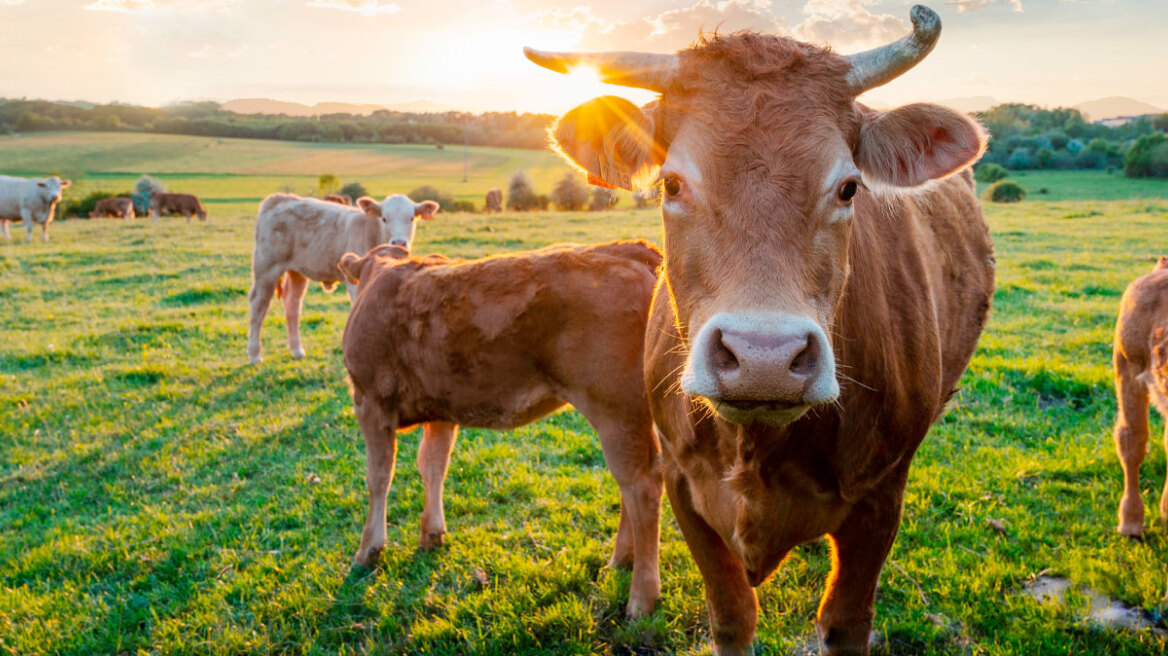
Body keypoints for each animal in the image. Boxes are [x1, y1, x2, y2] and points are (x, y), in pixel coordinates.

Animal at [245, 191, 439, 361]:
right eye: (384, 218)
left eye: (411, 218)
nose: (399, 242)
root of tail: (279, 199)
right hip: (266, 267)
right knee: (259, 305)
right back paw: (254, 354)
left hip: (297, 271)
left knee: (292, 304)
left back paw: (297, 350)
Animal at [338, 239, 668, 611]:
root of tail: (622, 248)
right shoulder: (440, 410)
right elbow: (433, 465)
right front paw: (431, 534)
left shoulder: (369, 401)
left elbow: (378, 477)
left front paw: (368, 551)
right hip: (631, 413)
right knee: (633, 482)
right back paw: (619, 562)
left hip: (615, 408)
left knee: (641, 486)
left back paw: (641, 598)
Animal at [530, 6, 995, 653]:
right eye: (672, 184)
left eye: (848, 186)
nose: (764, 358)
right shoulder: (684, 486)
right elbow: (731, 615)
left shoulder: (881, 499)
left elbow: (845, 622)